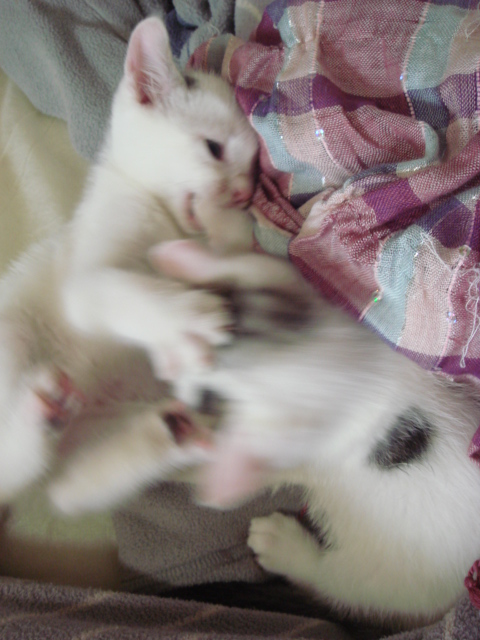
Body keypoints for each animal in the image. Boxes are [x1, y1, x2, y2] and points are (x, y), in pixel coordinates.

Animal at [0, 15, 259, 510]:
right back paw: (35, 410)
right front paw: (190, 318)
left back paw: (172, 430)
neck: (165, 220)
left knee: (68, 488)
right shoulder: (83, 281)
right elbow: (125, 289)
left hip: (86, 443)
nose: (242, 195)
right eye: (214, 149)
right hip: (10, 335)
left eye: (253, 170)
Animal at [153, 239, 480, 629]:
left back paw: (281, 544)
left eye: (208, 399)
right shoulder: (315, 309)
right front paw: (182, 261)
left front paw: (202, 470)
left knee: (336, 581)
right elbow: (256, 267)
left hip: (390, 577)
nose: (171, 372)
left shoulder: (301, 451)